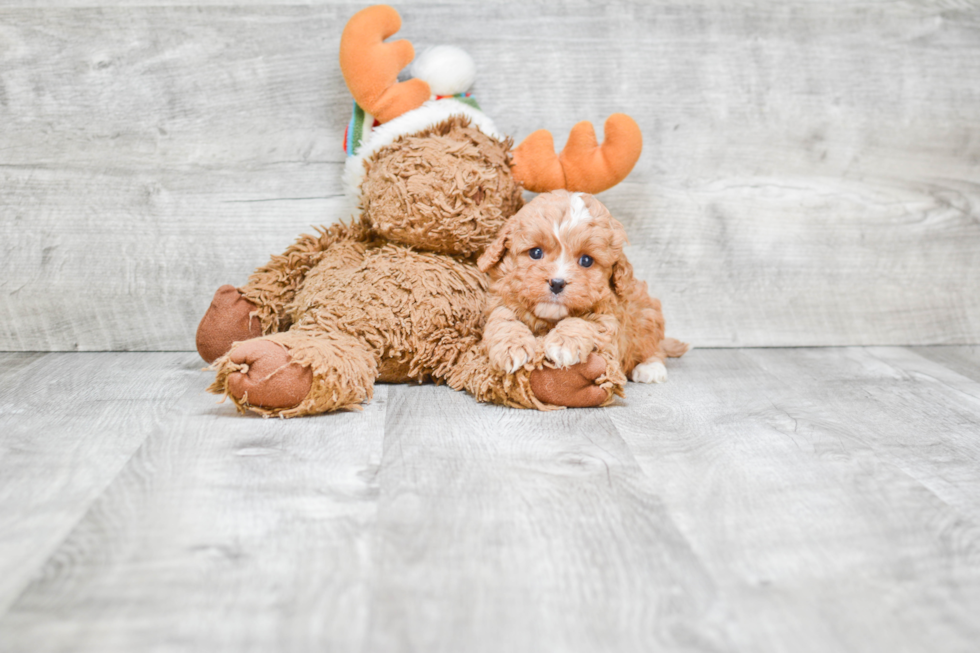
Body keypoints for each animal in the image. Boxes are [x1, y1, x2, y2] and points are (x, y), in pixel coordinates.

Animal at [474, 191, 688, 388]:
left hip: (647, 317)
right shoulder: (500, 300)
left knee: (654, 347)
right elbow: (503, 318)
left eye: (586, 260)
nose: (557, 283)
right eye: (535, 252)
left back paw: (650, 368)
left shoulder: (610, 318)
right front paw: (511, 347)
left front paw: (563, 343)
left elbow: (584, 322)